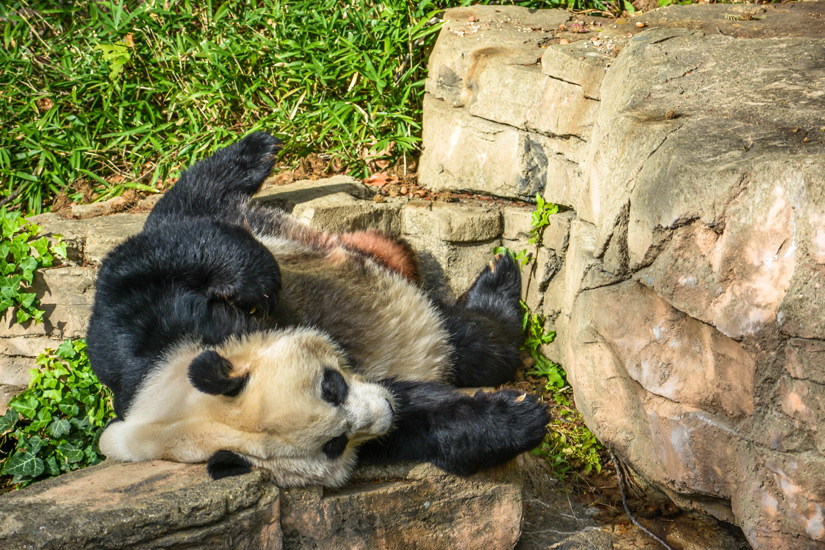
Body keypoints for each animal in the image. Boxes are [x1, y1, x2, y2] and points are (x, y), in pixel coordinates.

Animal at [85, 132, 548, 490]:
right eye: (334, 444)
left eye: (331, 386)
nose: (385, 409)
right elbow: (416, 424)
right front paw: (519, 418)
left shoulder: (140, 336)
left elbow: (143, 261)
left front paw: (261, 286)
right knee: (477, 345)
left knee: (191, 201)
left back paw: (257, 150)